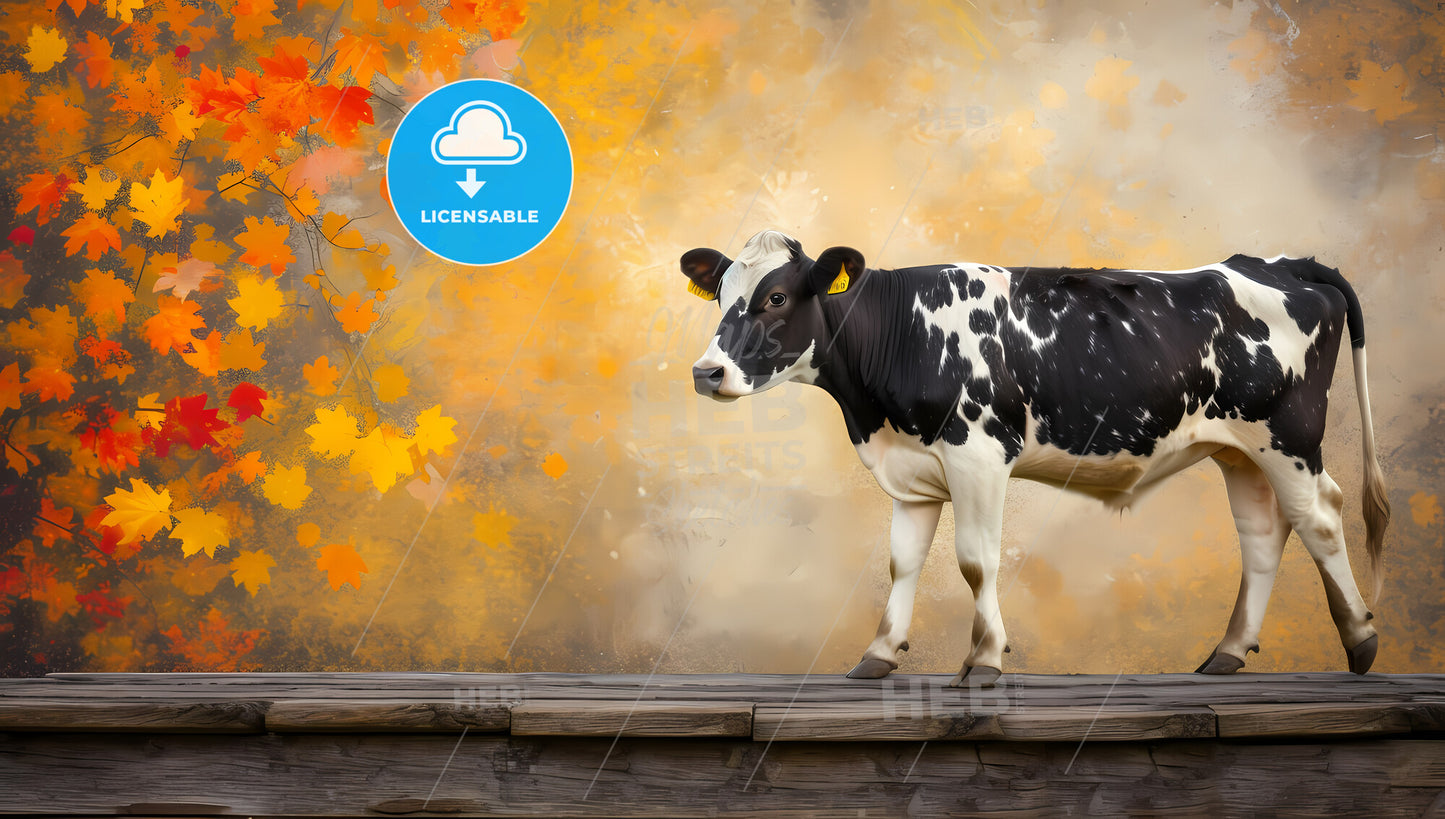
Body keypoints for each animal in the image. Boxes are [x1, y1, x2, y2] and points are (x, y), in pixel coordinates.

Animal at [680, 229, 1389, 687]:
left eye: (775, 297)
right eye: (718, 295)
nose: (707, 373)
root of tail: (1282, 263)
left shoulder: (978, 454)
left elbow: (975, 560)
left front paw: (984, 660)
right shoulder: (912, 469)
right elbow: (902, 562)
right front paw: (879, 654)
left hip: (1289, 435)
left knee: (1322, 518)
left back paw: (1361, 641)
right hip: (1239, 450)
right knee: (1265, 534)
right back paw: (1229, 652)